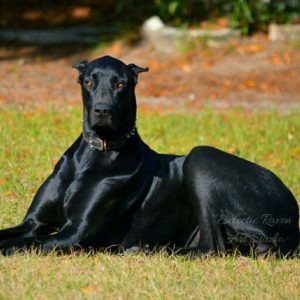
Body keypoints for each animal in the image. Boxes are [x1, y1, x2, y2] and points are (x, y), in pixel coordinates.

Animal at [0, 56, 298, 255]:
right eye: (88, 81)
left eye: (120, 84)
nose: (102, 110)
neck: (95, 151)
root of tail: (293, 214)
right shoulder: (34, 223)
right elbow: (14, 234)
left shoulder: (74, 233)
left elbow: (23, 245)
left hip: (201, 157)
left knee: (212, 247)